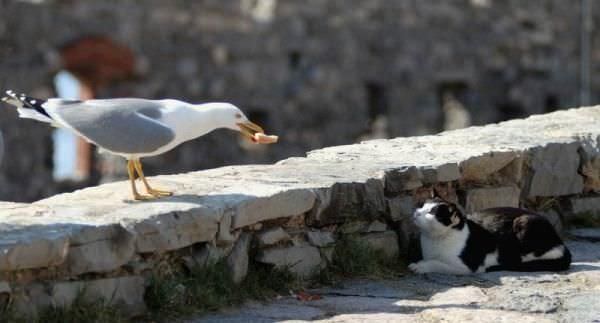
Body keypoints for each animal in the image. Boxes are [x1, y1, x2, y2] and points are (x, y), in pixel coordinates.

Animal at [408, 194, 572, 274]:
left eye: (431, 213)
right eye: (421, 206)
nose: (416, 213)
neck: (434, 240)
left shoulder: (467, 267)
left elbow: (437, 263)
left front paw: (420, 267)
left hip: (523, 224)